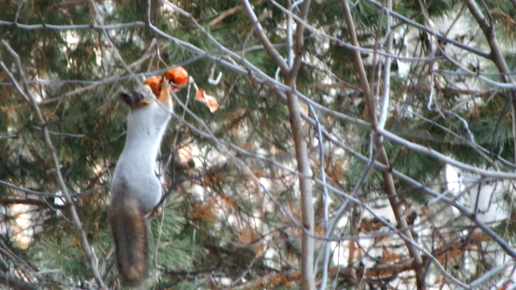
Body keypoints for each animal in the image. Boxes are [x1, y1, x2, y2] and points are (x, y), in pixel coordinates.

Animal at [110, 67, 188, 286]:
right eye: (147, 92)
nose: (152, 87)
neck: (137, 110)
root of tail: (122, 189)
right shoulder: (156, 115)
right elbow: (167, 109)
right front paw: (167, 87)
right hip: (152, 188)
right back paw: (155, 210)